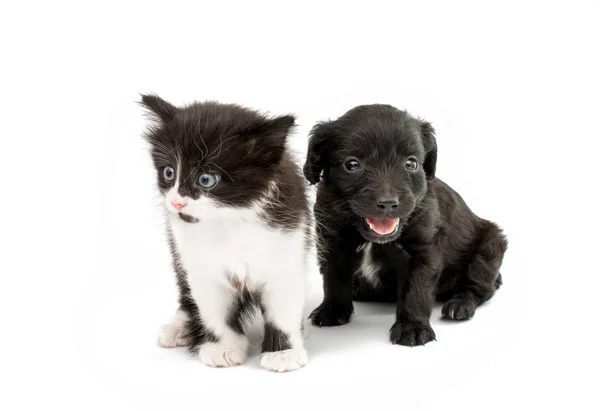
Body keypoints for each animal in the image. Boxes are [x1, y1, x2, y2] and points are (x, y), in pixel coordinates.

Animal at [139, 94, 312, 374]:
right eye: (169, 173)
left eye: (206, 179)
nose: (176, 203)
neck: (228, 219)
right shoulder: (199, 266)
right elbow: (213, 308)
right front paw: (223, 348)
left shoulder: (287, 247)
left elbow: (282, 309)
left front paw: (283, 353)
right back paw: (179, 327)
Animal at [304, 104, 506, 346]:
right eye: (351, 165)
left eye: (411, 163)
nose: (388, 203)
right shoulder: (332, 242)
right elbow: (334, 279)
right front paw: (332, 311)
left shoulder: (422, 250)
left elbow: (415, 289)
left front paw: (413, 327)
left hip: (490, 246)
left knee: (480, 287)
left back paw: (460, 305)